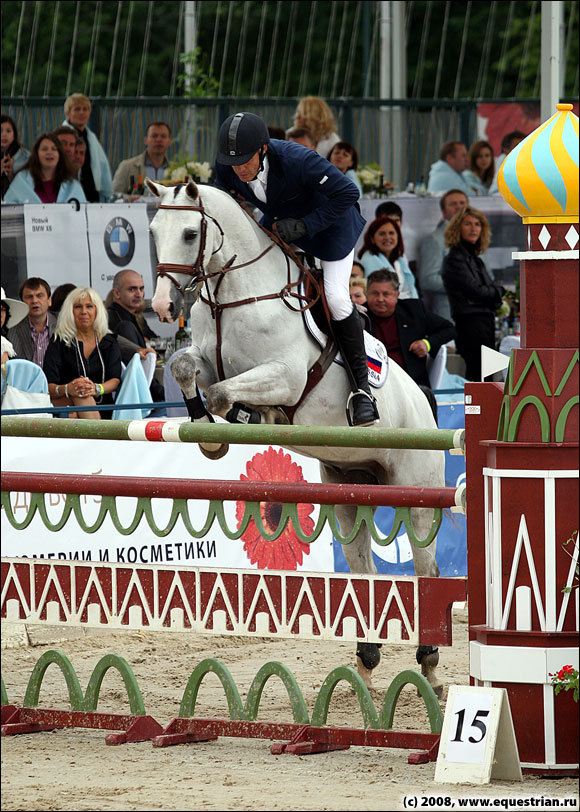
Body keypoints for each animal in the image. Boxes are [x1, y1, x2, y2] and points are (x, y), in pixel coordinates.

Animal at [148, 179, 444, 692]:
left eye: (189, 233)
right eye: (152, 231)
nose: (163, 306)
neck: (233, 295)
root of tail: (427, 405)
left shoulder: (284, 376)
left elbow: (224, 395)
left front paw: (246, 419)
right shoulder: (207, 360)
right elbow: (185, 367)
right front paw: (207, 431)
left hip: (416, 494)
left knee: (425, 565)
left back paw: (427, 661)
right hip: (349, 487)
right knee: (361, 563)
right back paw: (367, 660)